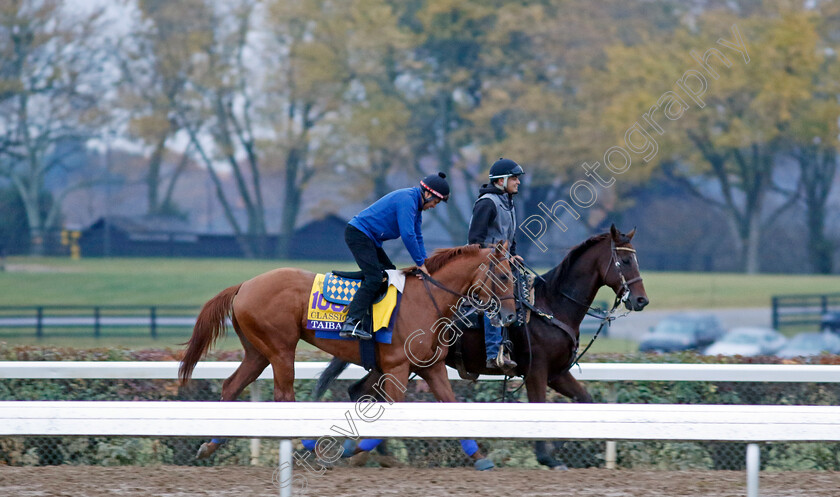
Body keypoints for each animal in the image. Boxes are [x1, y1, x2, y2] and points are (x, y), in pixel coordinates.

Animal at [180, 242, 516, 460]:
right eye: (502, 276)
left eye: (515, 275)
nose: (512, 315)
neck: (427, 300)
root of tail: (244, 285)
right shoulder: (396, 369)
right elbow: (391, 410)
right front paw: (356, 448)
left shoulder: (430, 368)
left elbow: (452, 404)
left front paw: (479, 457)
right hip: (280, 349)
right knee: (284, 396)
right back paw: (310, 444)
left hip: (258, 352)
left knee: (231, 385)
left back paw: (212, 443)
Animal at [316, 227, 648, 466]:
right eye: (625, 260)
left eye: (636, 258)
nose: (641, 300)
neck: (550, 307)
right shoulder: (537, 372)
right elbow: (540, 408)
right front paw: (547, 456)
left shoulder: (558, 373)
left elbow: (586, 401)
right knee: (366, 393)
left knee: (361, 391)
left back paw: (374, 454)